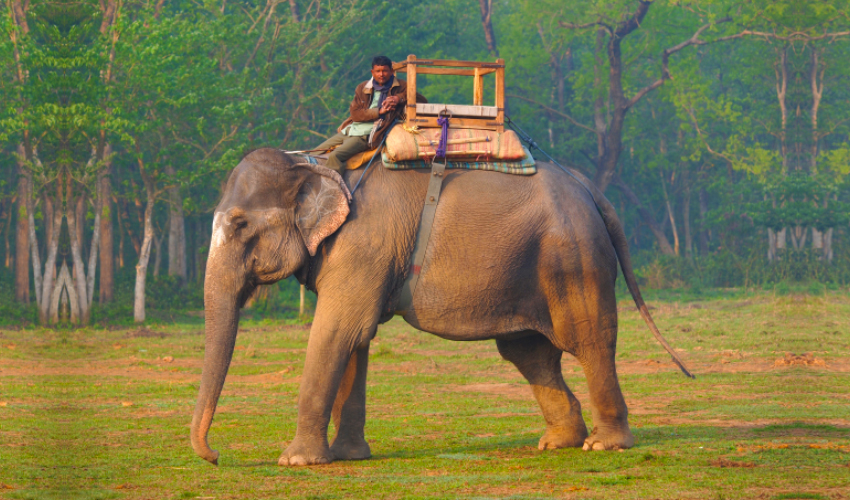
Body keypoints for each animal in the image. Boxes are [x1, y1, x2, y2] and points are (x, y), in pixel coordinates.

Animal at [190, 146, 688, 466]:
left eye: (239, 224)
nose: (215, 457)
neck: (315, 163)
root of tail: (588, 188)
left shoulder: (363, 245)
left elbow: (336, 331)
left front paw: (297, 462)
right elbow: (355, 339)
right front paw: (349, 456)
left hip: (574, 258)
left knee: (587, 340)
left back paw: (604, 446)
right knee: (529, 353)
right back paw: (558, 443)